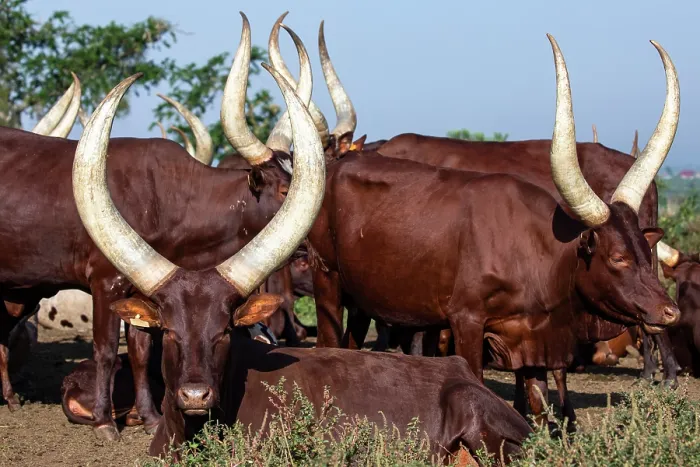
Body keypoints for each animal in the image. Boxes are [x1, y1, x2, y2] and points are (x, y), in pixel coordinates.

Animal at [0, 15, 316, 440]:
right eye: (283, 188)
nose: (311, 247)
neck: (167, 198)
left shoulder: (142, 288)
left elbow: (140, 350)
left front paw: (149, 418)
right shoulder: (105, 282)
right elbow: (105, 349)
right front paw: (105, 423)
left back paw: (10, 398)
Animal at [306, 35, 680, 430]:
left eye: (640, 250)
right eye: (617, 258)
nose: (670, 312)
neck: (538, 250)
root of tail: (336, 167)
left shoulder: (532, 337)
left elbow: (537, 401)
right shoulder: (465, 321)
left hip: (362, 296)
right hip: (327, 278)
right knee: (329, 341)